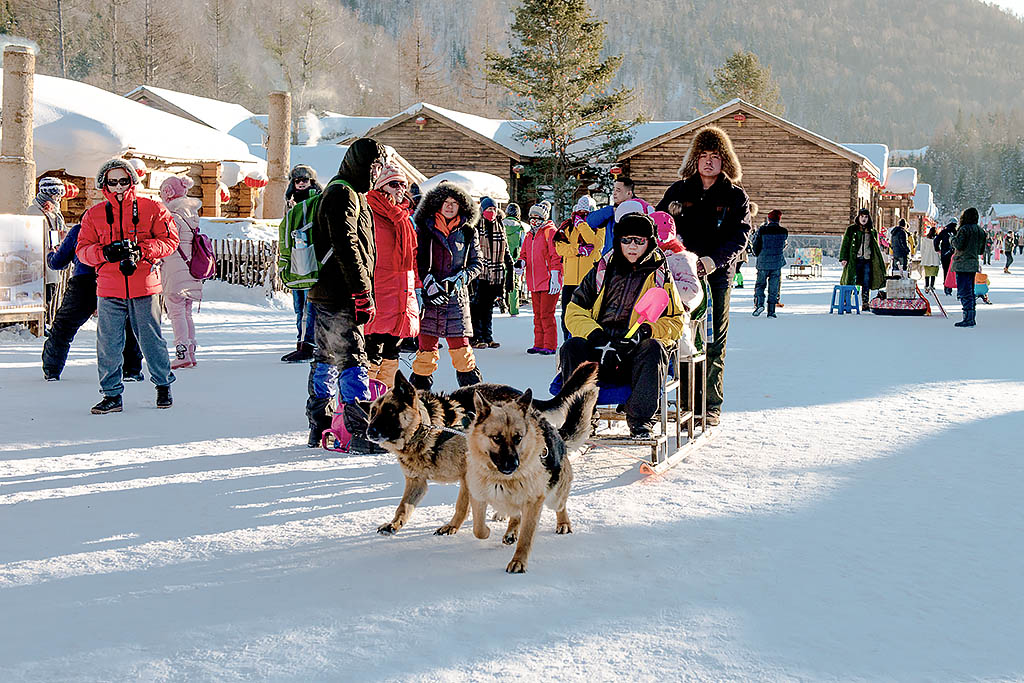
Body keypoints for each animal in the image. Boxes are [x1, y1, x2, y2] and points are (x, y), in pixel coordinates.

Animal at [366, 362, 598, 540]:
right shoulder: (417, 482)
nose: (369, 431)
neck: (429, 429)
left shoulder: (467, 477)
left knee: (558, 500)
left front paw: (452, 526)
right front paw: (393, 524)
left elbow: (461, 507)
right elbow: (403, 507)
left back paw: (561, 522)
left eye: (390, 411)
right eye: (372, 412)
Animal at [464, 387, 593, 573]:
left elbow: (526, 538)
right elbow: (478, 529)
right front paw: (488, 531)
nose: (513, 464)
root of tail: (557, 433)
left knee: (560, 505)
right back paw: (511, 531)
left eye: (518, 438)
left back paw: (563, 523)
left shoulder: (533, 503)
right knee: (514, 514)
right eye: (497, 438)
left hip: (554, 498)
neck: (501, 478)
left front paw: (518, 561)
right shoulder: (478, 496)